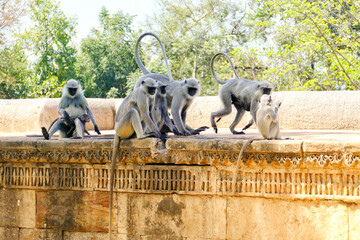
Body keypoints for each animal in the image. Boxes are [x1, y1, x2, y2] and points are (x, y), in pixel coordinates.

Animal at [107, 78, 165, 239]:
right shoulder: (141, 94)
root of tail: (115, 131)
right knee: (135, 111)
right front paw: (159, 134)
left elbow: (149, 113)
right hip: (123, 127)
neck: (145, 91)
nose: (152, 91)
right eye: (150, 87)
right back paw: (141, 136)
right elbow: (145, 113)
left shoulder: (150, 97)